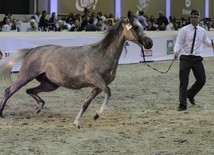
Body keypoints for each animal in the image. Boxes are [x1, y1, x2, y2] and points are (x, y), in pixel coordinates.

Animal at [0, 10, 152, 127]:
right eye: (135, 26)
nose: (149, 43)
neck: (102, 54)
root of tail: (33, 50)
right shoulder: (97, 81)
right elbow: (108, 93)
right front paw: (97, 115)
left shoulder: (96, 86)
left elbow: (86, 103)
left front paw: (77, 122)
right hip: (26, 76)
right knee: (9, 91)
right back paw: (2, 113)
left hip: (50, 84)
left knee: (30, 90)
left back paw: (39, 106)